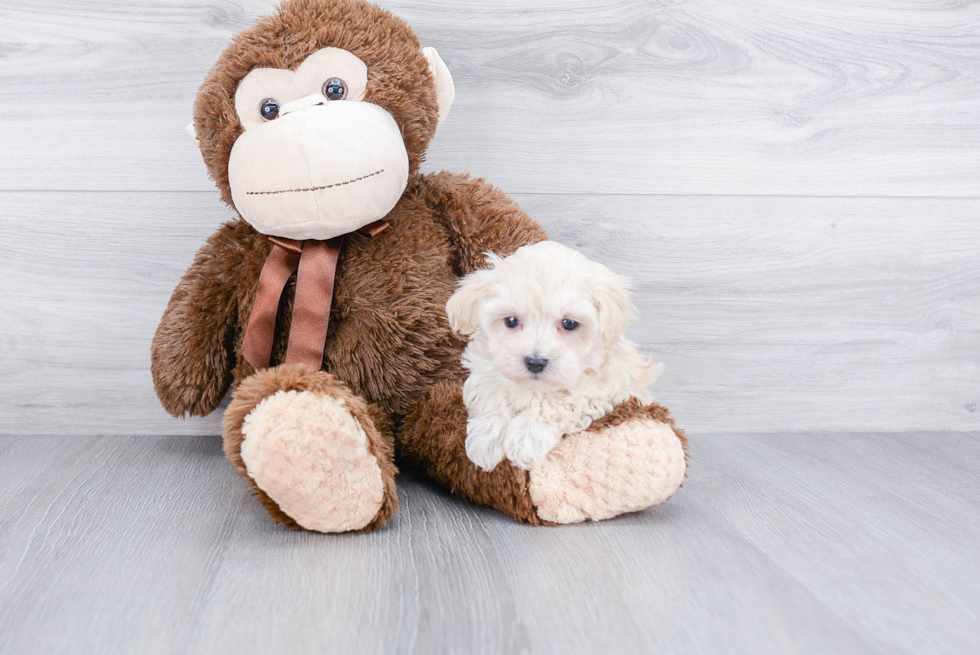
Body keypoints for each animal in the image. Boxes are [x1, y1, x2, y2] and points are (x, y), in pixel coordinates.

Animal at [448, 241, 664, 472]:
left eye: (569, 323)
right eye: (511, 321)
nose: (535, 362)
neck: (534, 388)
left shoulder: (602, 389)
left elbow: (556, 403)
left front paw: (525, 439)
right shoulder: (486, 372)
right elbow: (493, 395)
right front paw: (486, 441)